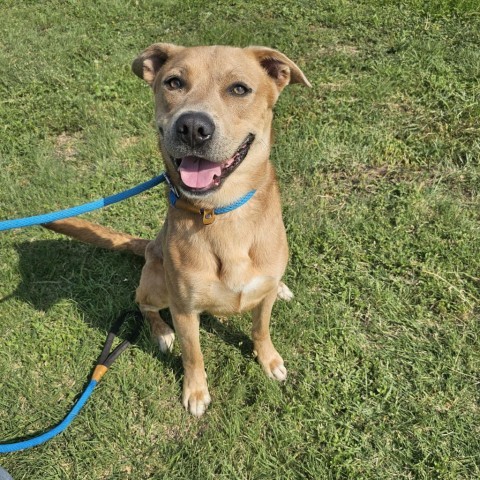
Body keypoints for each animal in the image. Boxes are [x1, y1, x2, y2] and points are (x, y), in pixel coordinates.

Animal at [46, 46, 312, 420]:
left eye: (239, 89)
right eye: (174, 82)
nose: (193, 127)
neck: (221, 213)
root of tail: (147, 246)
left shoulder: (262, 299)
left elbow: (261, 329)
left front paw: (269, 360)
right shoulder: (185, 310)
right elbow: (193, 354)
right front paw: (196, 392)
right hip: (158, 285)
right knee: (142, 303)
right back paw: (160, 333)